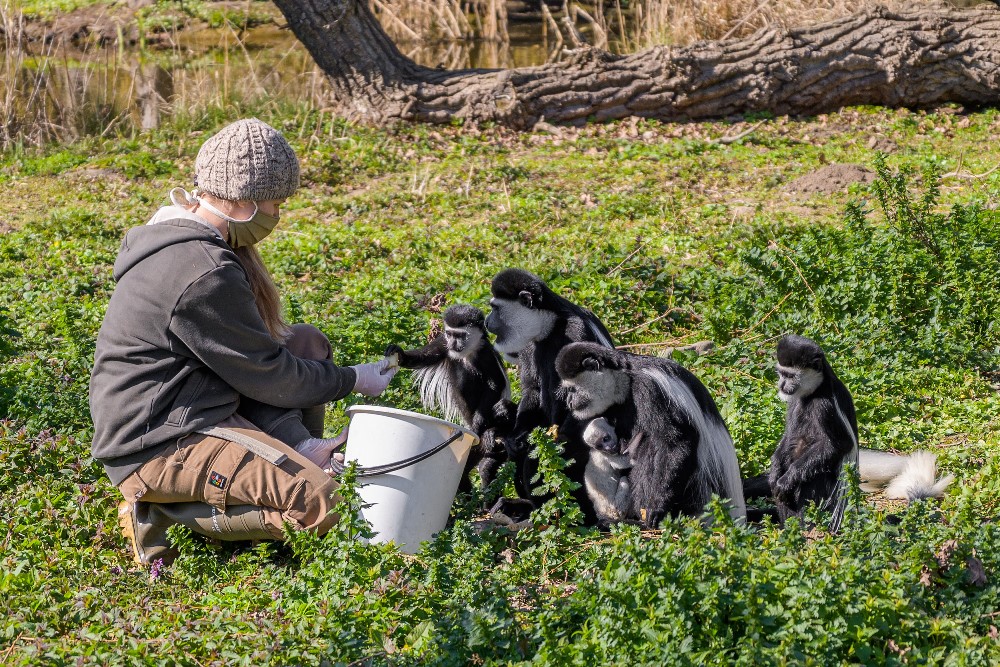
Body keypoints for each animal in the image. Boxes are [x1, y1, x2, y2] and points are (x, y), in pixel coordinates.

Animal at [386, 306, 516, 494]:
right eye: (450, 333)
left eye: (461, 335)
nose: (454, 344)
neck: (469, 349)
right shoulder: (443, 341)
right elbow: (426, 356)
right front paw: (399, 354)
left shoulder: (485, 353)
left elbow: (494, 385)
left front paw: (477, 424)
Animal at [482, 268, 612, 520]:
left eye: (495, 308)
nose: (485, 320)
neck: (551, 326)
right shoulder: (529, 345)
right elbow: (532, 389)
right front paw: (513, 437)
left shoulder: (576, 332)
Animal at [556, 344, 744, 528]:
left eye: (572, 389)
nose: (569, 402)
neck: (626, 379)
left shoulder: (650, 390)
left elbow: (676, 441)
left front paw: (656, 508)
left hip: (695, 489)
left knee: (654, 445)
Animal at [768, 334, 864, 532]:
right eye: (781, 373)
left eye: (790, 376)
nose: (781, 385)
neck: (815, 390)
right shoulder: (793, 401)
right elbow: (788, 436)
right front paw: (774, 473)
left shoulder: (825, 406)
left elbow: (839, 445)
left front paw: (785, 480)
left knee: (812, 482)